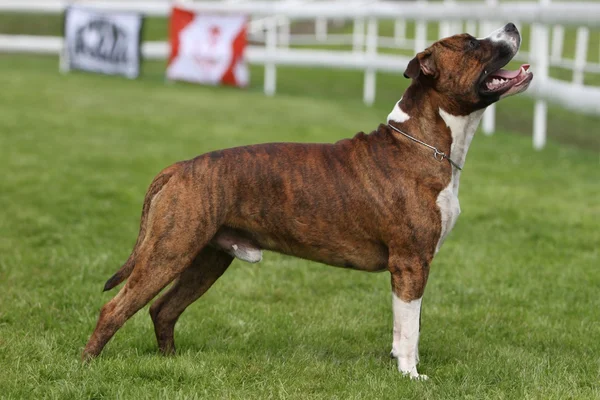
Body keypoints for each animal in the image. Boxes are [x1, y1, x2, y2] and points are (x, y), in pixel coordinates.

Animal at [82, 21, 532, 378]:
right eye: (471, 43)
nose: (512, 24)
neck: (426, 142)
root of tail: (179, 167)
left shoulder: (415, 267)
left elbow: (409, 326)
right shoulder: (410, 263)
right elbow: (409, 330)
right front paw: (410, 376)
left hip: (207, 258)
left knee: (164, 309)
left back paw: (171, 363)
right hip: (168, 251)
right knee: (115, 309)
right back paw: (86, 368)